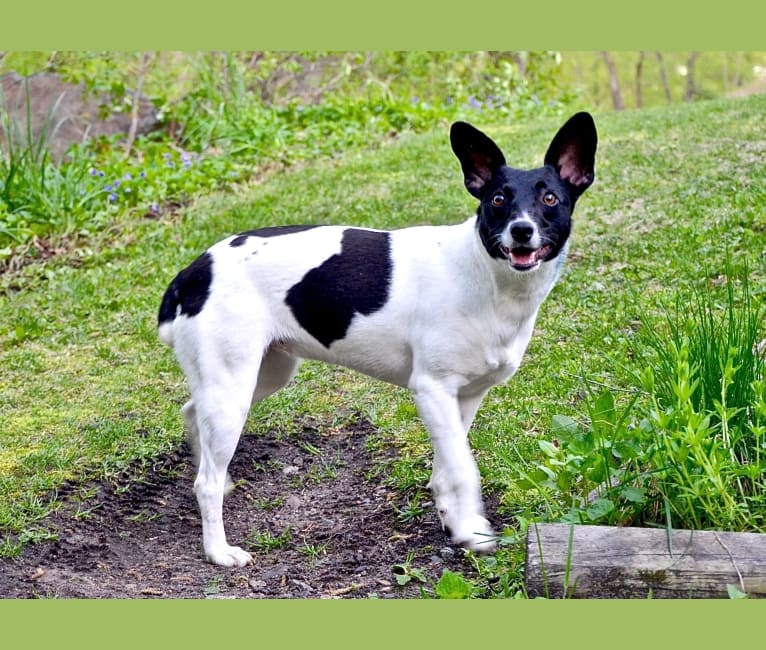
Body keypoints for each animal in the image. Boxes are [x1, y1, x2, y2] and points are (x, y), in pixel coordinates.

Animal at [158, 114, 600, 564]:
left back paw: (221, 479)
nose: (521, 230)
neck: (485, 275)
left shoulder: (465, 397)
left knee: (192, 414)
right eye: (497, 200)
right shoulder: (432, 389)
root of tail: (193, 273)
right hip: (233, 389)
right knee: (205, 482)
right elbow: (463, 468)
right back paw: (218, 550)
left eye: (550, 199)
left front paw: (453, 518)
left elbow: (449, 464)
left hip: (263, 374)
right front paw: (470, 530)